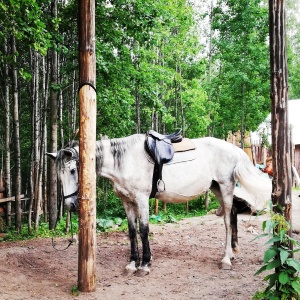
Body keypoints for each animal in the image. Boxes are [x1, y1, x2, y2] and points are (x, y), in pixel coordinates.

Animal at [47, 135, 272, 274]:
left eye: (73, 171)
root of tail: (235, 149)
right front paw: (132, 263)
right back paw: (233, 252)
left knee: (227, 221)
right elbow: (132, 231)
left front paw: (145, 264)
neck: (124, 161)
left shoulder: (141, 199)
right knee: (232, 214)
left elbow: (144, 230)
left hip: (225, 186)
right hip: (217, 187)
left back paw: (225, 259)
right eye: (59, 174)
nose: (71, 204)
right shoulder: (127, 202)